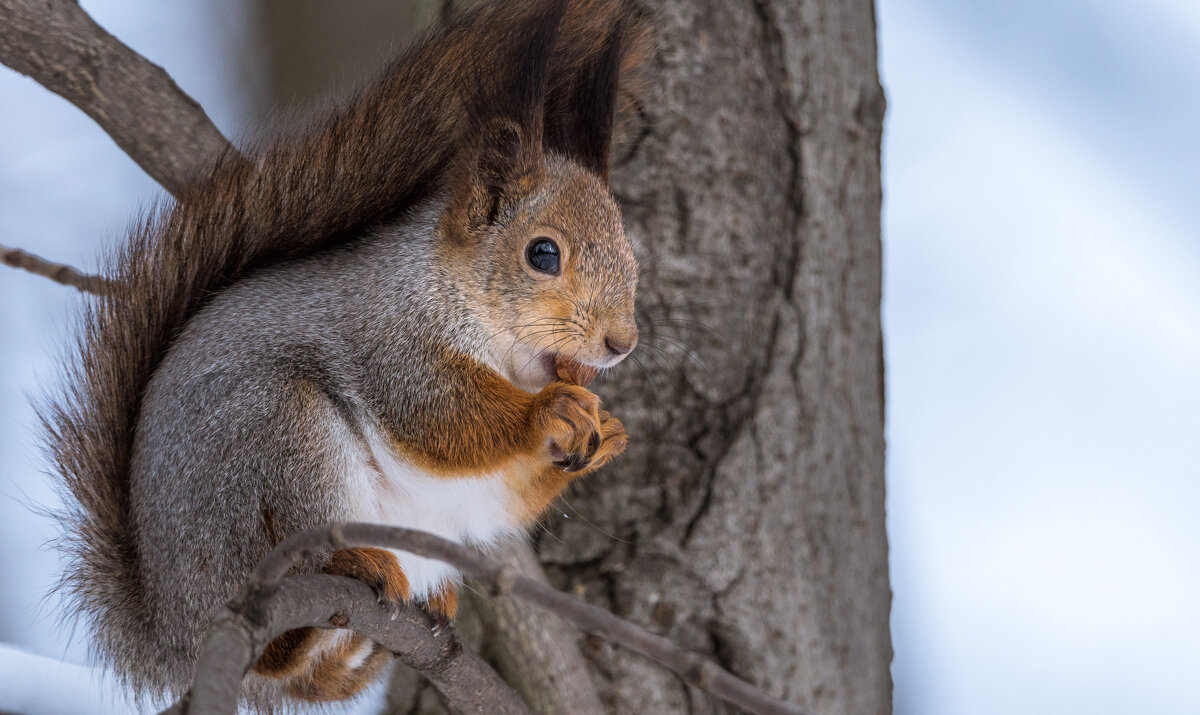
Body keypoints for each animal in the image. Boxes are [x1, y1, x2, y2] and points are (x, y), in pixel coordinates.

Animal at [42, 0, 652, 705]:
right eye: (543, 253)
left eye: (632, 252)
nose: (621, 344)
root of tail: (177, 631)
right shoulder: (389, 339)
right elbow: (439, 417)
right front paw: (547, 411)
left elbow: (510, 486)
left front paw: (609, 433)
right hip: (278, 437)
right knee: (283, 627)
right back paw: (351, 565)